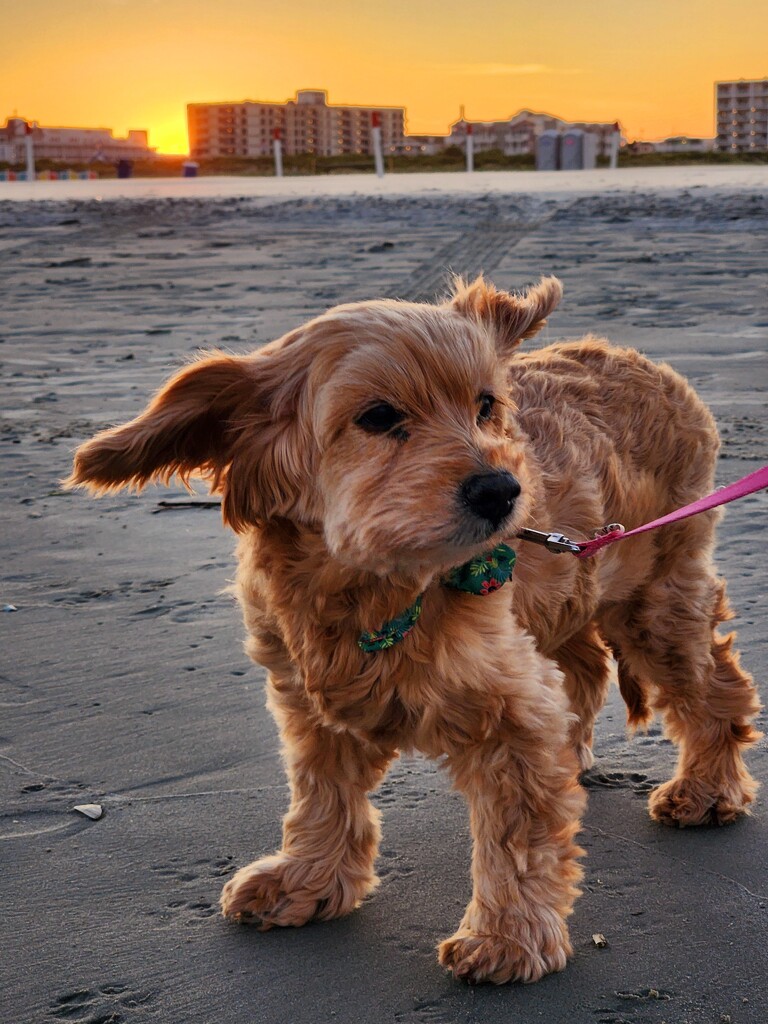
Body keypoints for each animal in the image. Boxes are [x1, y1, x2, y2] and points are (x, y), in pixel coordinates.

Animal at [67, 278, 765, 983]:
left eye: (485, 405)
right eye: (378, 417)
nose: (502, 489)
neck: (373, 586)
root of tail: (641, 362)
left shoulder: (510, 709)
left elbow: (517, 837)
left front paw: (508, 936)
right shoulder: (309, 697)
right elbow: (321, 793)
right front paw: (305, 877)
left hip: (655, 596)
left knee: (715, 686)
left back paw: (707, 790)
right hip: (574, 589)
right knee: (587, 668)